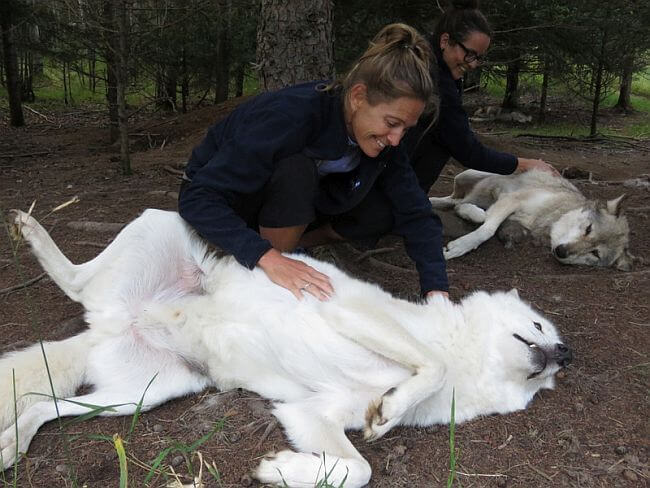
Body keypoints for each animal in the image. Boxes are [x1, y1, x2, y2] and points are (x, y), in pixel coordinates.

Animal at [2, 210, 568, 488]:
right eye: (539, 324)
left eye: (549, 378)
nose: (563, 355)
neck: (466, 362)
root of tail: (107, 325)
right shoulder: (352, 313)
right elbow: (428, 366)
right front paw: (387, 414)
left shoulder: (307, 414)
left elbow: (357, 470)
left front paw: (277, 470)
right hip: (160, 221)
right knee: (76, 281)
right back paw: (30, 230)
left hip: (142, 396)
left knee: (43, 406)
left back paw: (12, 444)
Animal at [428, 169, 632, 270]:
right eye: (589, 229)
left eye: (595, 253)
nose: (562, 252)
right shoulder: (512, 199)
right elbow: (487, 230)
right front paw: (459, 247)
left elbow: (487, 223)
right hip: (466, 174)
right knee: (455, 198)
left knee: (455, 203)